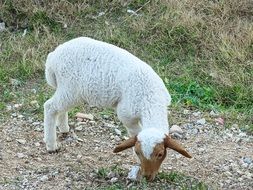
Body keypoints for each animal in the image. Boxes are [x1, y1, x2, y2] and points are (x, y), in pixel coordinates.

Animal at [44, 36, 192, 180]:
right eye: (138, 152)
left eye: (160, 154)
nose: (147, 176)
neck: (151, 101)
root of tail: (53, 56)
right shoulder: (127, 114)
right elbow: (135, 132)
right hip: (71, 88)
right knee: (50, 106)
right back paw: (51, 145)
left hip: (67, 90)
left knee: (60, 108)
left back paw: (64, 128)